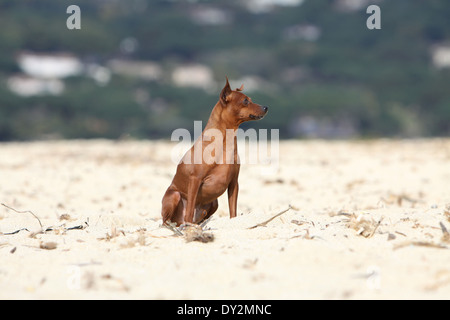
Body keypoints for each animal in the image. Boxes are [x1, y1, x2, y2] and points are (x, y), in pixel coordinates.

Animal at [161, 77, 268, 226]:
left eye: (250, 99)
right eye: (245, 101)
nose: (266, 107)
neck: (224, 142)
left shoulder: (234, 183)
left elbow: (233, 212)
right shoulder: (195, 180)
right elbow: (189, 211)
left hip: (214, 203)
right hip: (175, 195)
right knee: (169, 220)